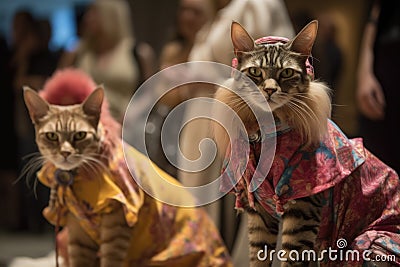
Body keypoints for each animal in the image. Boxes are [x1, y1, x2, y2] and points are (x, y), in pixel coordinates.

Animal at [21, 68, 233, 266]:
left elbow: (110, 261)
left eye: (80, 135)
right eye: (52, 136)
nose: (65, 152)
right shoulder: (77, 234)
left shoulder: (116, 228)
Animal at [214, 21, 398, 267]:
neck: (269, 136)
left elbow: (292, 257)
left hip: (368, 245)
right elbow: (258, 255)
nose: (270, 90)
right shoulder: (259, 213)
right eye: (254, 72)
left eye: (287, 72)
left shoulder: (302, 209)